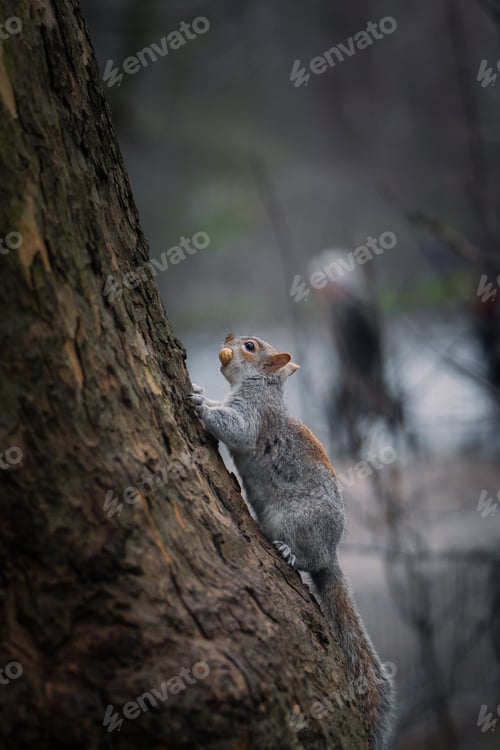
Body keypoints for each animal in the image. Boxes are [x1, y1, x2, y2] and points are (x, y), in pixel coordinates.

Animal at [188, 333, 395, 749]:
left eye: (250, 346)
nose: (228, 339)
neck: (263, 385)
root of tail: (331, 553)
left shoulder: (256, 416)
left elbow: (237, 428)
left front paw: (202, 405)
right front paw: (202, 391)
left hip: (297, 522)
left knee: (309, 560)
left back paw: (290, 552)